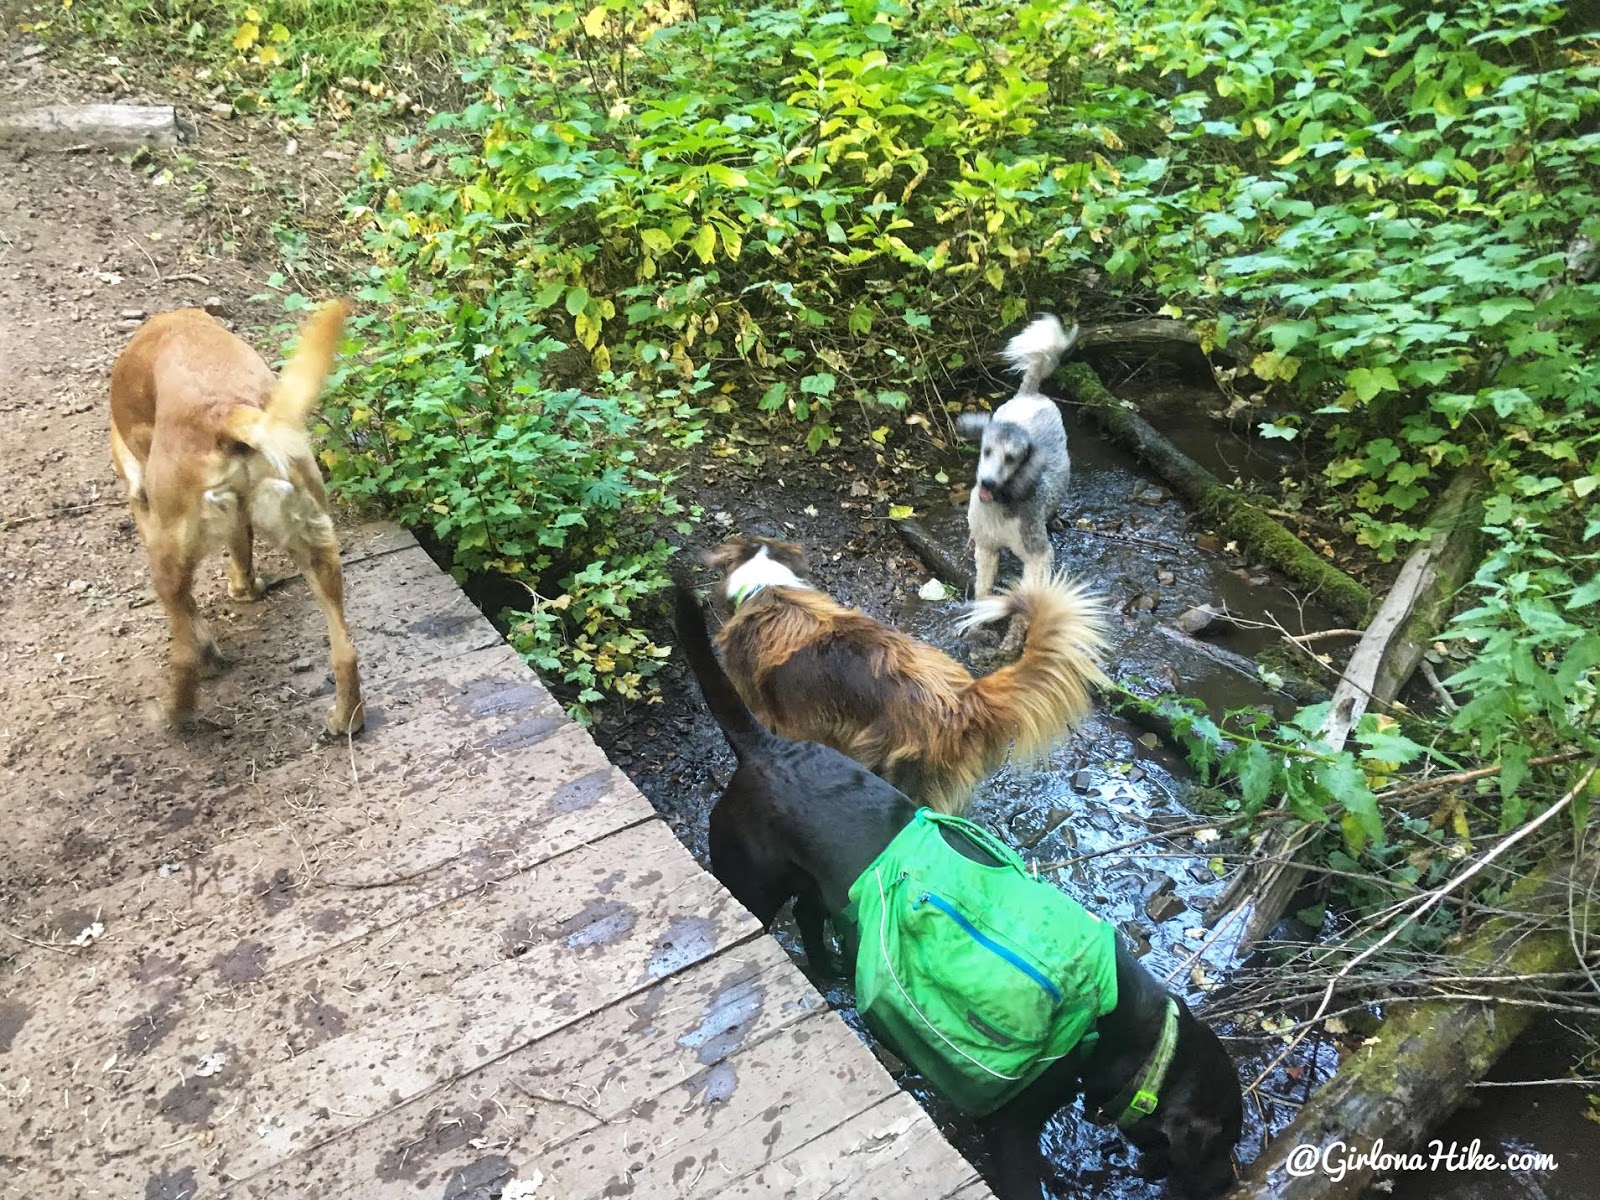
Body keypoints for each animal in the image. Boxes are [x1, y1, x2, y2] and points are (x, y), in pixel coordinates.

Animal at [109, 300, 363, 739]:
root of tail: (227, 412)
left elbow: (189, 617)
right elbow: (242, 554)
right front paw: (245, 589)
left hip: (167, 557)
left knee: (184, 652)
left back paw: (178, 712)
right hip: (320, 551)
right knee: (345, 651)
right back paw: (347, 718)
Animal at [668, 588, 1241, 1196]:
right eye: (1223, 1139)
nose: (1227, 1185)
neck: (1135, 1036)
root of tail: (766, 746)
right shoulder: (1013, 1126)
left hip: (822, 886)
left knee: (807, 918)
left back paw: (830, 972)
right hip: (750, 884)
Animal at [953, 315, 1081, 601]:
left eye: (1012, 458)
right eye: (986, 451)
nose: (987, 482)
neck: (1000, 503)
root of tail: (1030, 394)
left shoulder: (1037, 553)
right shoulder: (986, 547)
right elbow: (983, 585)